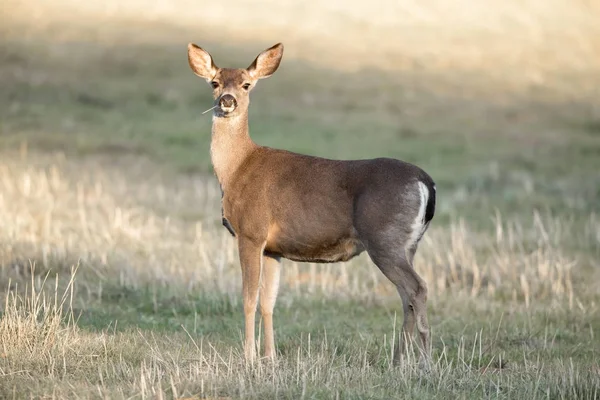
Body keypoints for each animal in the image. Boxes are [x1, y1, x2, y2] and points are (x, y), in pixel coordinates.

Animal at [188, 41, 436, 366]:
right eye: (215, 82)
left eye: (246, 84)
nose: (227, 101)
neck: (235, 169)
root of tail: (426, 182)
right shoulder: (273, 248)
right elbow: (268, 301)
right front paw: (270, 357)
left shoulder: (251, 232)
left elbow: (248, 298)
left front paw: (249, 358)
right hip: (407, 245)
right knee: (406, 295)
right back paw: (398, 361)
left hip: (384, 239)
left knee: (417, 288)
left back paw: (426, 362)